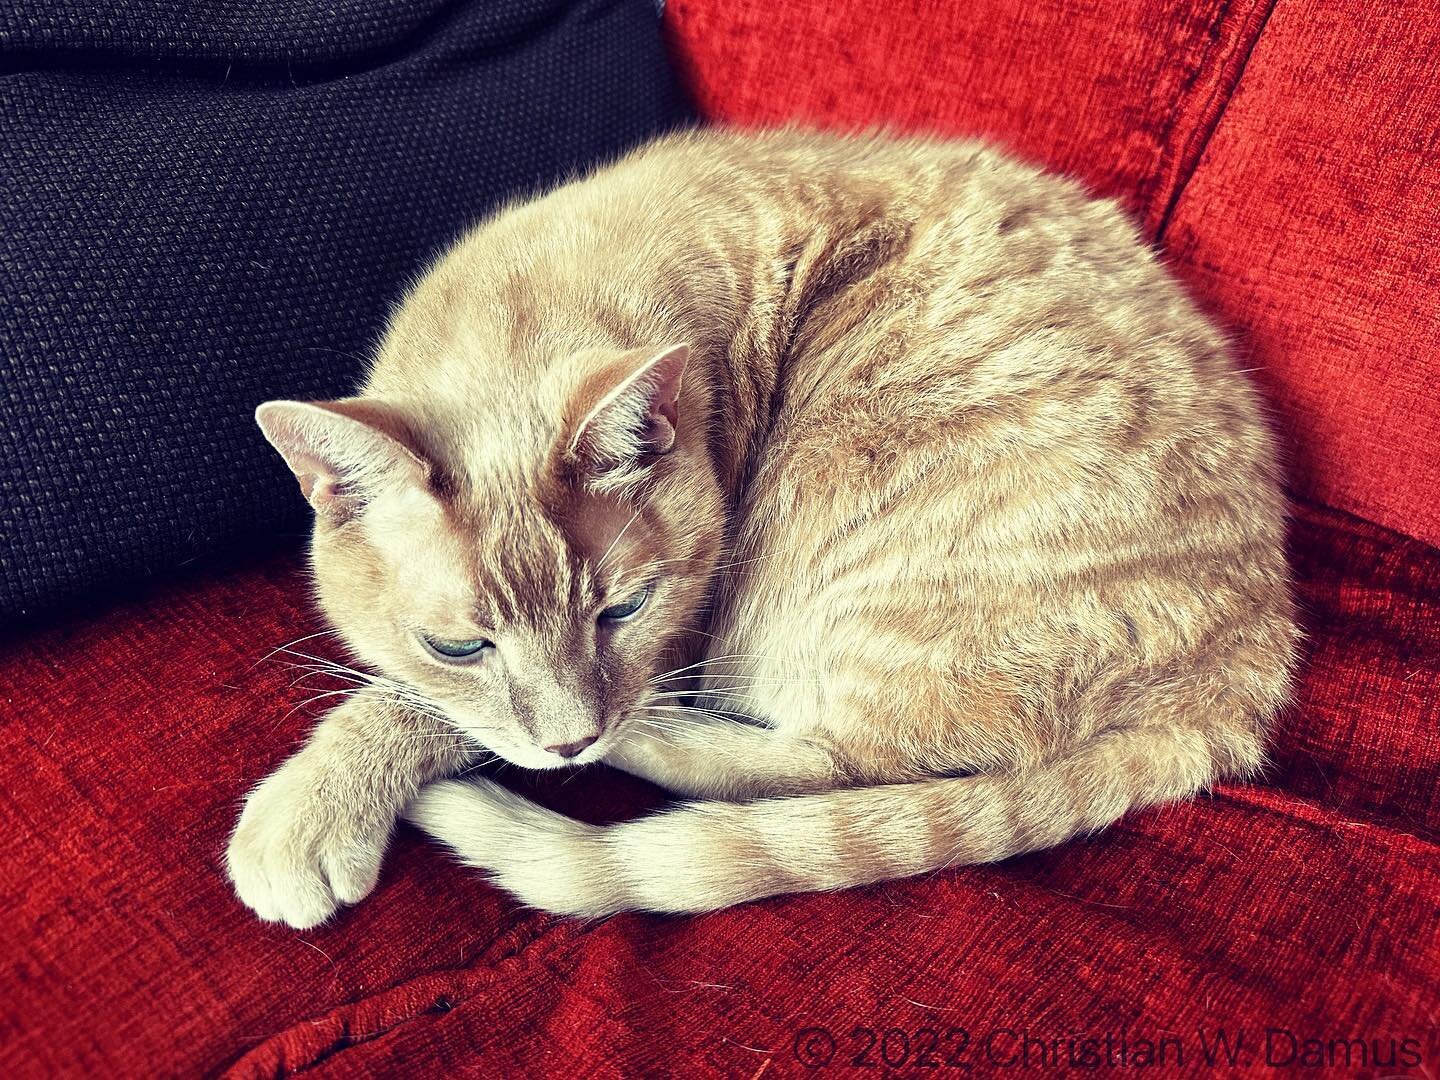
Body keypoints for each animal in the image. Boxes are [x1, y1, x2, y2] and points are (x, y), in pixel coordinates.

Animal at [227, 124, 1307, 921]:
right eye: (459, 645)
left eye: (623, 613)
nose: (573, 742)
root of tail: (1243, 675)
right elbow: (426, 694)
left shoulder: (683, 627)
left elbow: (410, 706)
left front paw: (316, 802)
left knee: (827, 764)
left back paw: (652, 736)